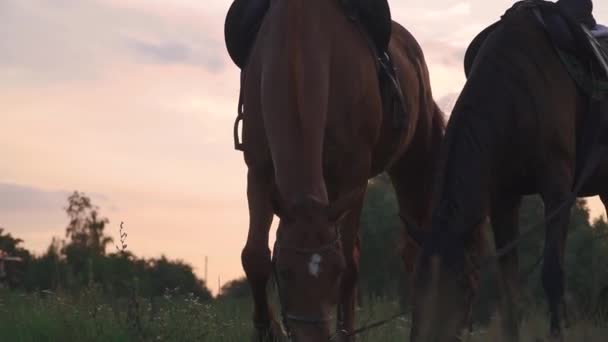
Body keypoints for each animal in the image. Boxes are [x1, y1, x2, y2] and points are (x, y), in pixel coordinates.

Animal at [226, 0, 444, 340]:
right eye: (283, 271)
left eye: (335, 271)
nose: (313, 336)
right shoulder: (259, 169)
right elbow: (254, 256)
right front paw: (266, 329)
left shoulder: (353, 173)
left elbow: (352, 263)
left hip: (412, 167)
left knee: (415, 251)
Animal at [408, 1, 608, 340]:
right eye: (415, 290)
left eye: (461, 287)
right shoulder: (503, 199)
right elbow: (509, 289)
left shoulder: (557, 189)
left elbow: (552, 275)